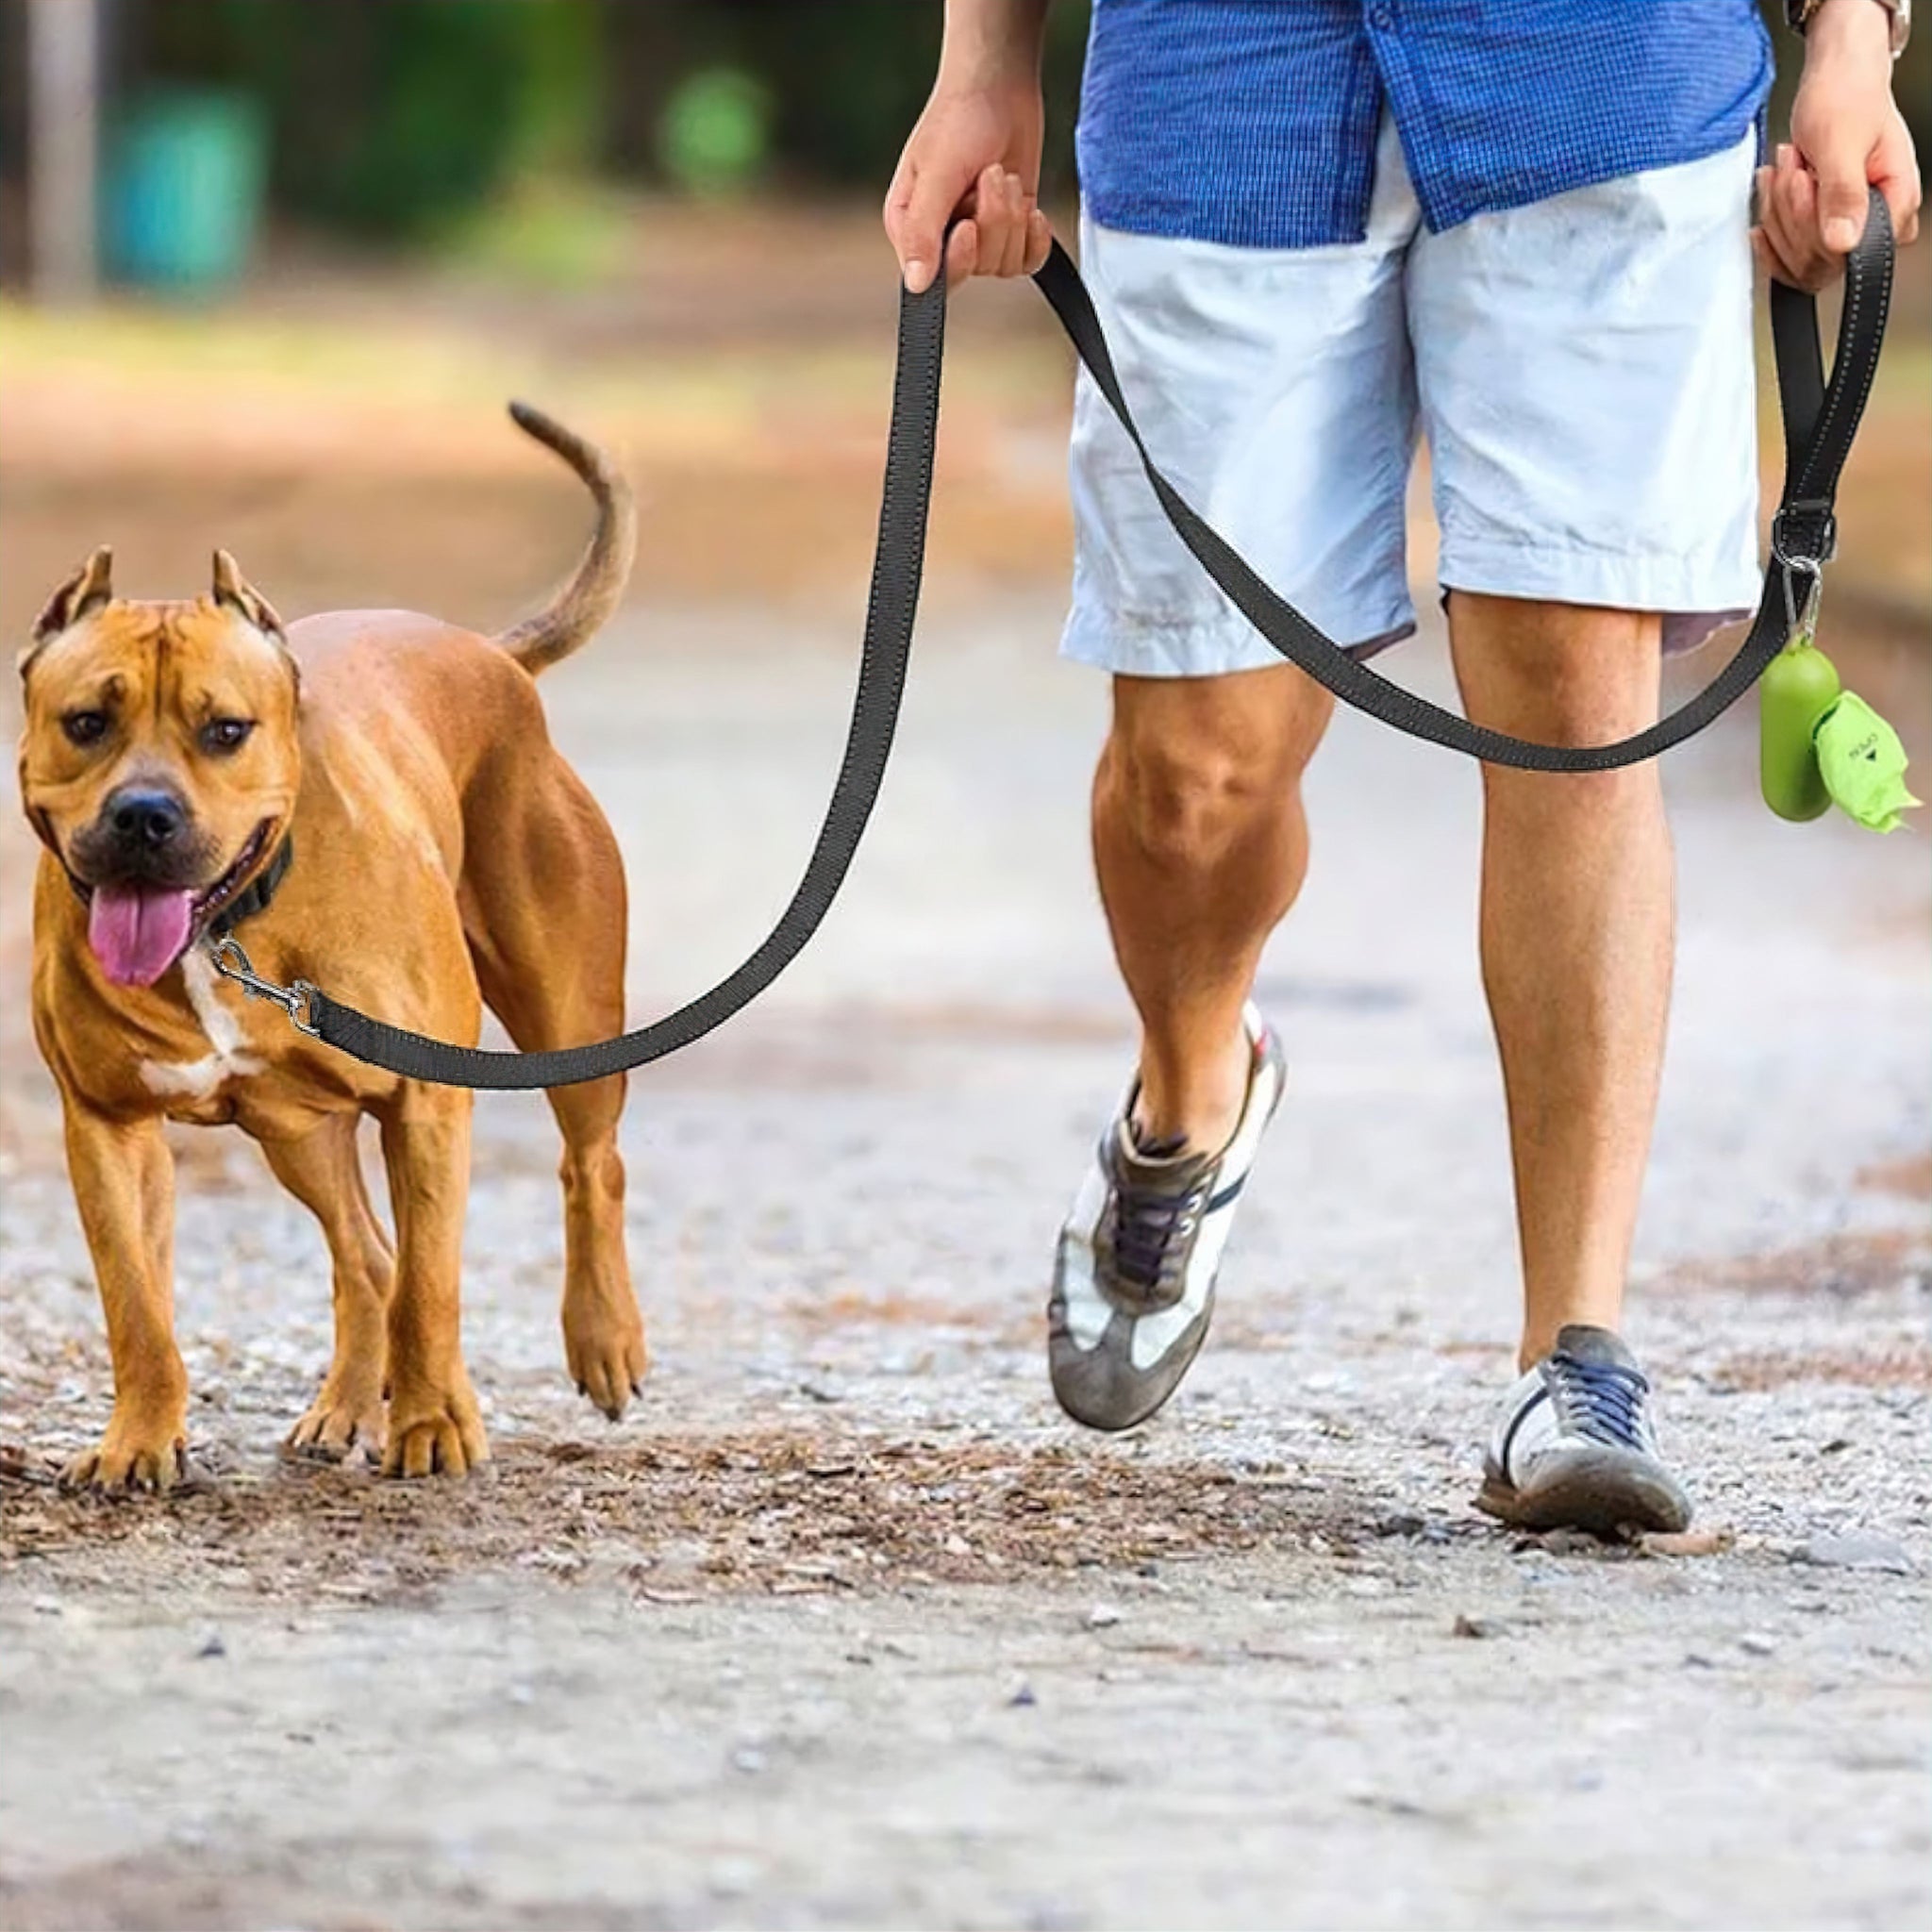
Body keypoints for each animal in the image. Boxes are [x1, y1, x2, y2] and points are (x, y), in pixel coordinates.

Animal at [17, 408, 649, 1491]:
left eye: (226, 730)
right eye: (86, 722)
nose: (143, 816)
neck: (226, 930)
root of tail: (491, 656)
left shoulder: (428, 1103)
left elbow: (435, 1284)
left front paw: (433, 1426)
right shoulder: (107, 1125)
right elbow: (136, 1305)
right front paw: (139, 1438)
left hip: (566, 1014)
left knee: (586, 1164)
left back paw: (602, 1339)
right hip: (296, 1129)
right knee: (366, 1257)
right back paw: (347, 1404)